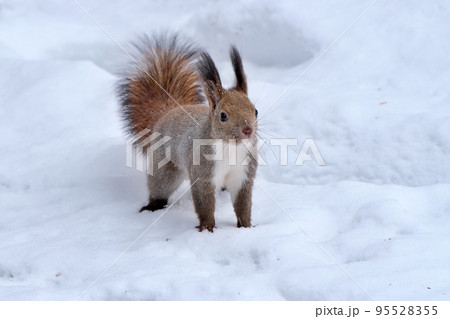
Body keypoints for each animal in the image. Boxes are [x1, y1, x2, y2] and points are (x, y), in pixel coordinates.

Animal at [117, 34, 256, 232]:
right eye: (223, 116)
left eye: (256, 111)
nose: (248, 130)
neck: (230, 147)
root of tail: (168, 113)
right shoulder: (203, 174)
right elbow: (204, 204)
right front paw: (207, 229)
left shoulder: (243, 175)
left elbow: (243, 205)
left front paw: (246, 227)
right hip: (165, 170)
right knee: (159, 188)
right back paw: (151, 207)